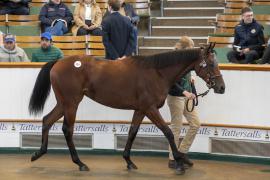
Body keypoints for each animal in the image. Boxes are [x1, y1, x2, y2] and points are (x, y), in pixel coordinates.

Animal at [28, 42, 225, 174]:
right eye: (211, 64)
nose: (221, 87)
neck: (156, 72)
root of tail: (58, 62)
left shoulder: (140, 110)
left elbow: (132, 132)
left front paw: (129, 161)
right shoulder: (150, 108)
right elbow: (168, 132)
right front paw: (178, 162)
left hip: (64, 103)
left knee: (47, 120)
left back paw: (38, 153)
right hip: (71, 103)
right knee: (67, 129)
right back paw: (80, 163)